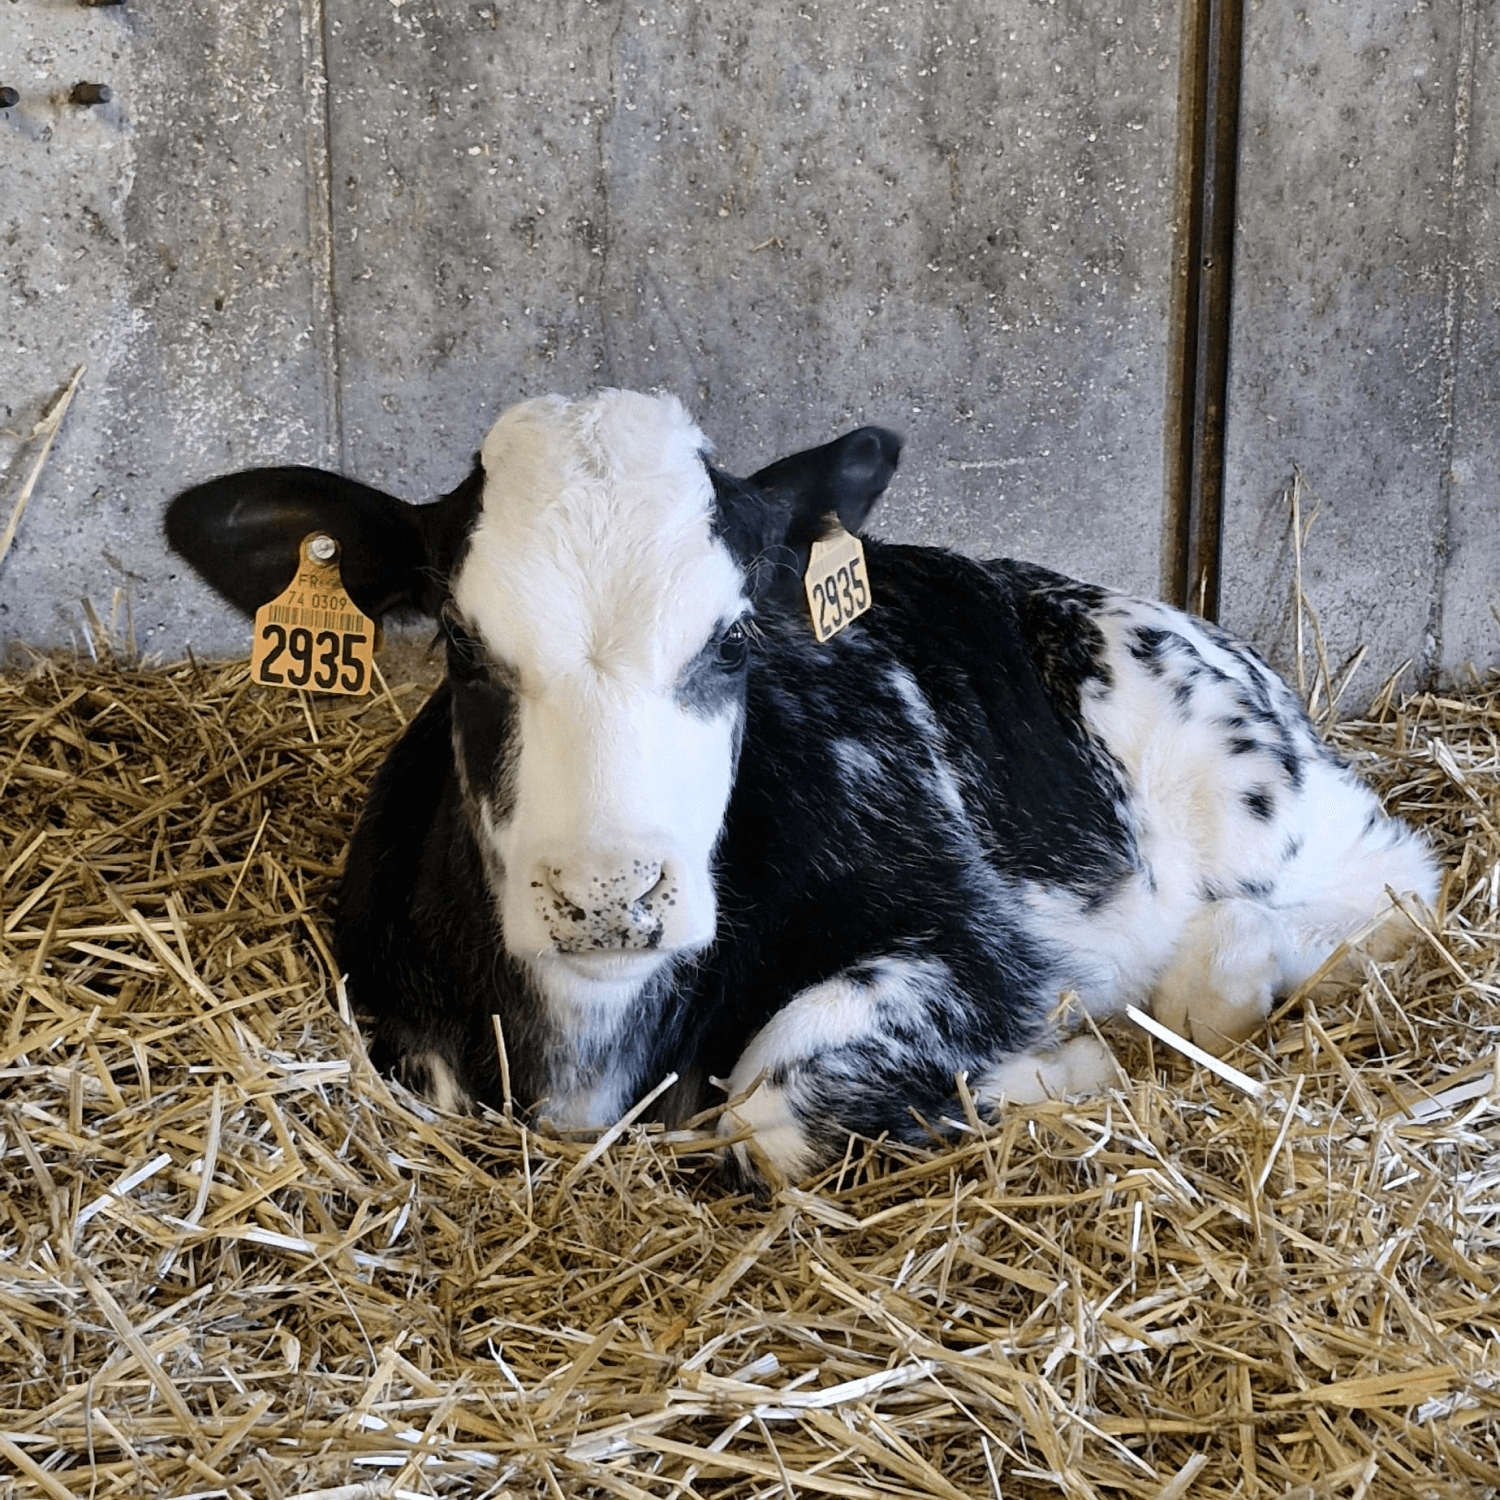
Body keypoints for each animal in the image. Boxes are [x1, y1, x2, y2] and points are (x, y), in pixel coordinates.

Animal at [166, 389, 1438, 1181]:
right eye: (463, 648)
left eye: (734, 638)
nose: (608, 902)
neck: (589, 1048)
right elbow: (422, 1083)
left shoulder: (978, 942)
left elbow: (777, 1100)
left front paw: (1064, 1067)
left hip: (1233, 766)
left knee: (1391, 885)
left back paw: (1242, 968)